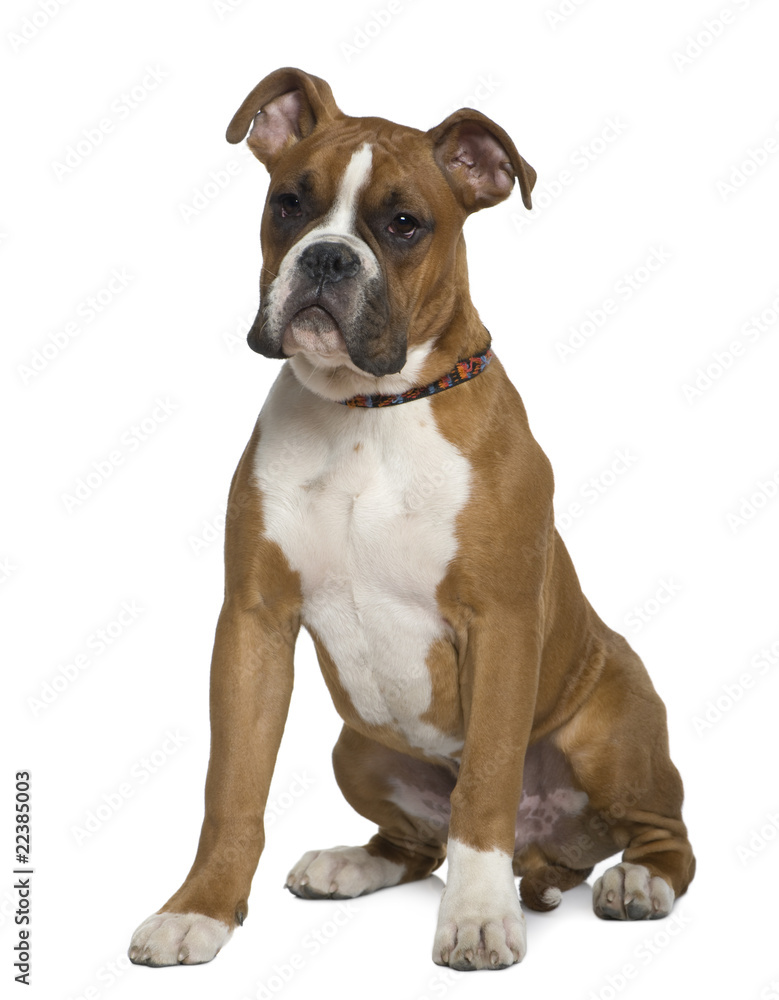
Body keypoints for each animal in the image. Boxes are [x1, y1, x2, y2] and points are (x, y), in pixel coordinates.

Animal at [126, 68, 696, 968]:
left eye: (403, 225)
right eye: (288, 202)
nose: (326, 256)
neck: (367, 409)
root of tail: (550, 854)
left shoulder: (499, 626)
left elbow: (487, 784)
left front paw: (476, 917)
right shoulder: (252, 624)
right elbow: (232, 787)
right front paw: (200, 909)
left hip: (609, 727)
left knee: (661, 832)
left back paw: (636, 881)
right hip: (356, 744)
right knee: (415, 844)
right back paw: (352, 863)